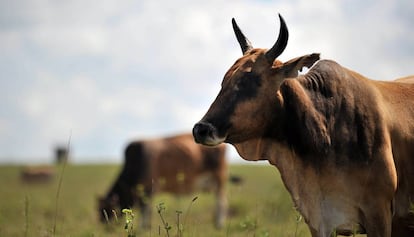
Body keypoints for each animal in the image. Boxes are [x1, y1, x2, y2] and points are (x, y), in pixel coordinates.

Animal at [98, 133, 228, 228]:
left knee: (221, 202)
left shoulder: (148, 190)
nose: (104, 225)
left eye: (107, 210)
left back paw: (219, 224)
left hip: (219, 179)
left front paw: (143, 228)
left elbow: (146, 211)